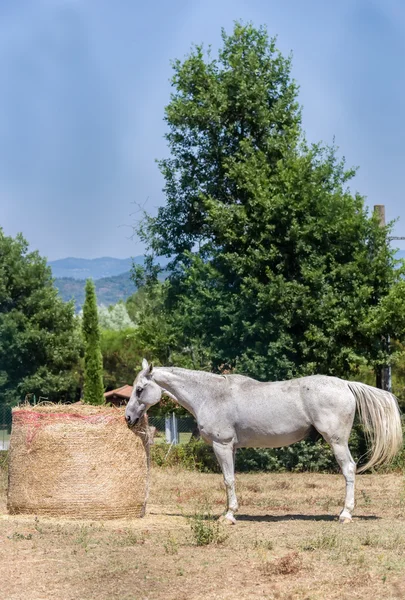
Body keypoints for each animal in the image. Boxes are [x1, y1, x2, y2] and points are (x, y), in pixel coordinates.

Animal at [125, 358, 400, 524]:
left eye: (139, 389)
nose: (128, 417)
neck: (211, 395)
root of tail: (345, 384)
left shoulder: (222, 445)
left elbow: (228, 479)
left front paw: (228, 516)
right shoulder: (232, 448)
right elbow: (231, 479)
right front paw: (230, 510)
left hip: (337, 441)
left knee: (349, 470)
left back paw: (345, 514)